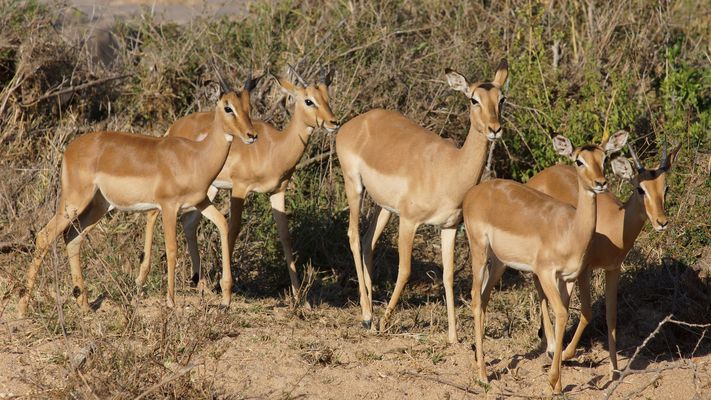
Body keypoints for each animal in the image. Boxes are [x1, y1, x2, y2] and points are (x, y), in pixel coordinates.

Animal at [17, 71, 257, 316]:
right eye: (228, 107)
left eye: (248, 106)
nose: (252, 135)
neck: (195, 156)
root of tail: (69, 148)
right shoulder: (169, 207)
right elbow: (172, 249)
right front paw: (171, 303)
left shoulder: (201, 202)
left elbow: (223, 225)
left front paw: (226, 299)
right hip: (74, 201)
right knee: (45, 236)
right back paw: (22, 308)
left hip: (99, 205)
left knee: (73, 237)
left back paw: (85, 306)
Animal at [139, 65, 339, 301]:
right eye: (309, 100)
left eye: (327, 98)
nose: (334, 122)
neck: (274, 148)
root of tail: (174, 127)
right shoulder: (240, 188)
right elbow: (233, 229)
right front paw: (223, 287)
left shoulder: (277, 192)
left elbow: (285, 235)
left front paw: (299, 298)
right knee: (153, 214)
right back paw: (142, 279)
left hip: (208, 190)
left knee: (188, 223)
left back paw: (200, 284)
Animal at [336, 59, 509, 343]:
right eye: (474, 99)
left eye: (501, 98)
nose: (495, 129)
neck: (450, 169)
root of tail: (355, 123)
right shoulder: (409, 222)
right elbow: (405, 270)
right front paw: (384, 322)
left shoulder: (449, 227)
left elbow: (448, 275)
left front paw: (453, 337)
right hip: (355, 187)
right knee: (353, 235)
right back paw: (367, 316)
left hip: (384, 207)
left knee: (368, 241)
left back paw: (370, 310)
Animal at [462, 131, 628, 394]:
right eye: (579, 161)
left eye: (604, 158)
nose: (600, 183)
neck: (570, 231)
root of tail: (475, 192)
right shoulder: (546, 273)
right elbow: (560, 312)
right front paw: (553, 381)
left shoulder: (566, 278)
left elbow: (564, 313)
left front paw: (557, 382)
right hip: (479, 250)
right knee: (476, 297)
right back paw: (483, 376)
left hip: (499, 263)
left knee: (485, 297)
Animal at [528, 138, 681, 378]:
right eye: (640, 188)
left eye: (665, 188)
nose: (661, 222)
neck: (615, 226)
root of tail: (538, 177)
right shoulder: (585, 269)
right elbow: (587, 312)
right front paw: (566, 354)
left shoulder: (613, 269)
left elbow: (611, 316)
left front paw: (614, 369)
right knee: (539, 286)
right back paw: (551, 347)